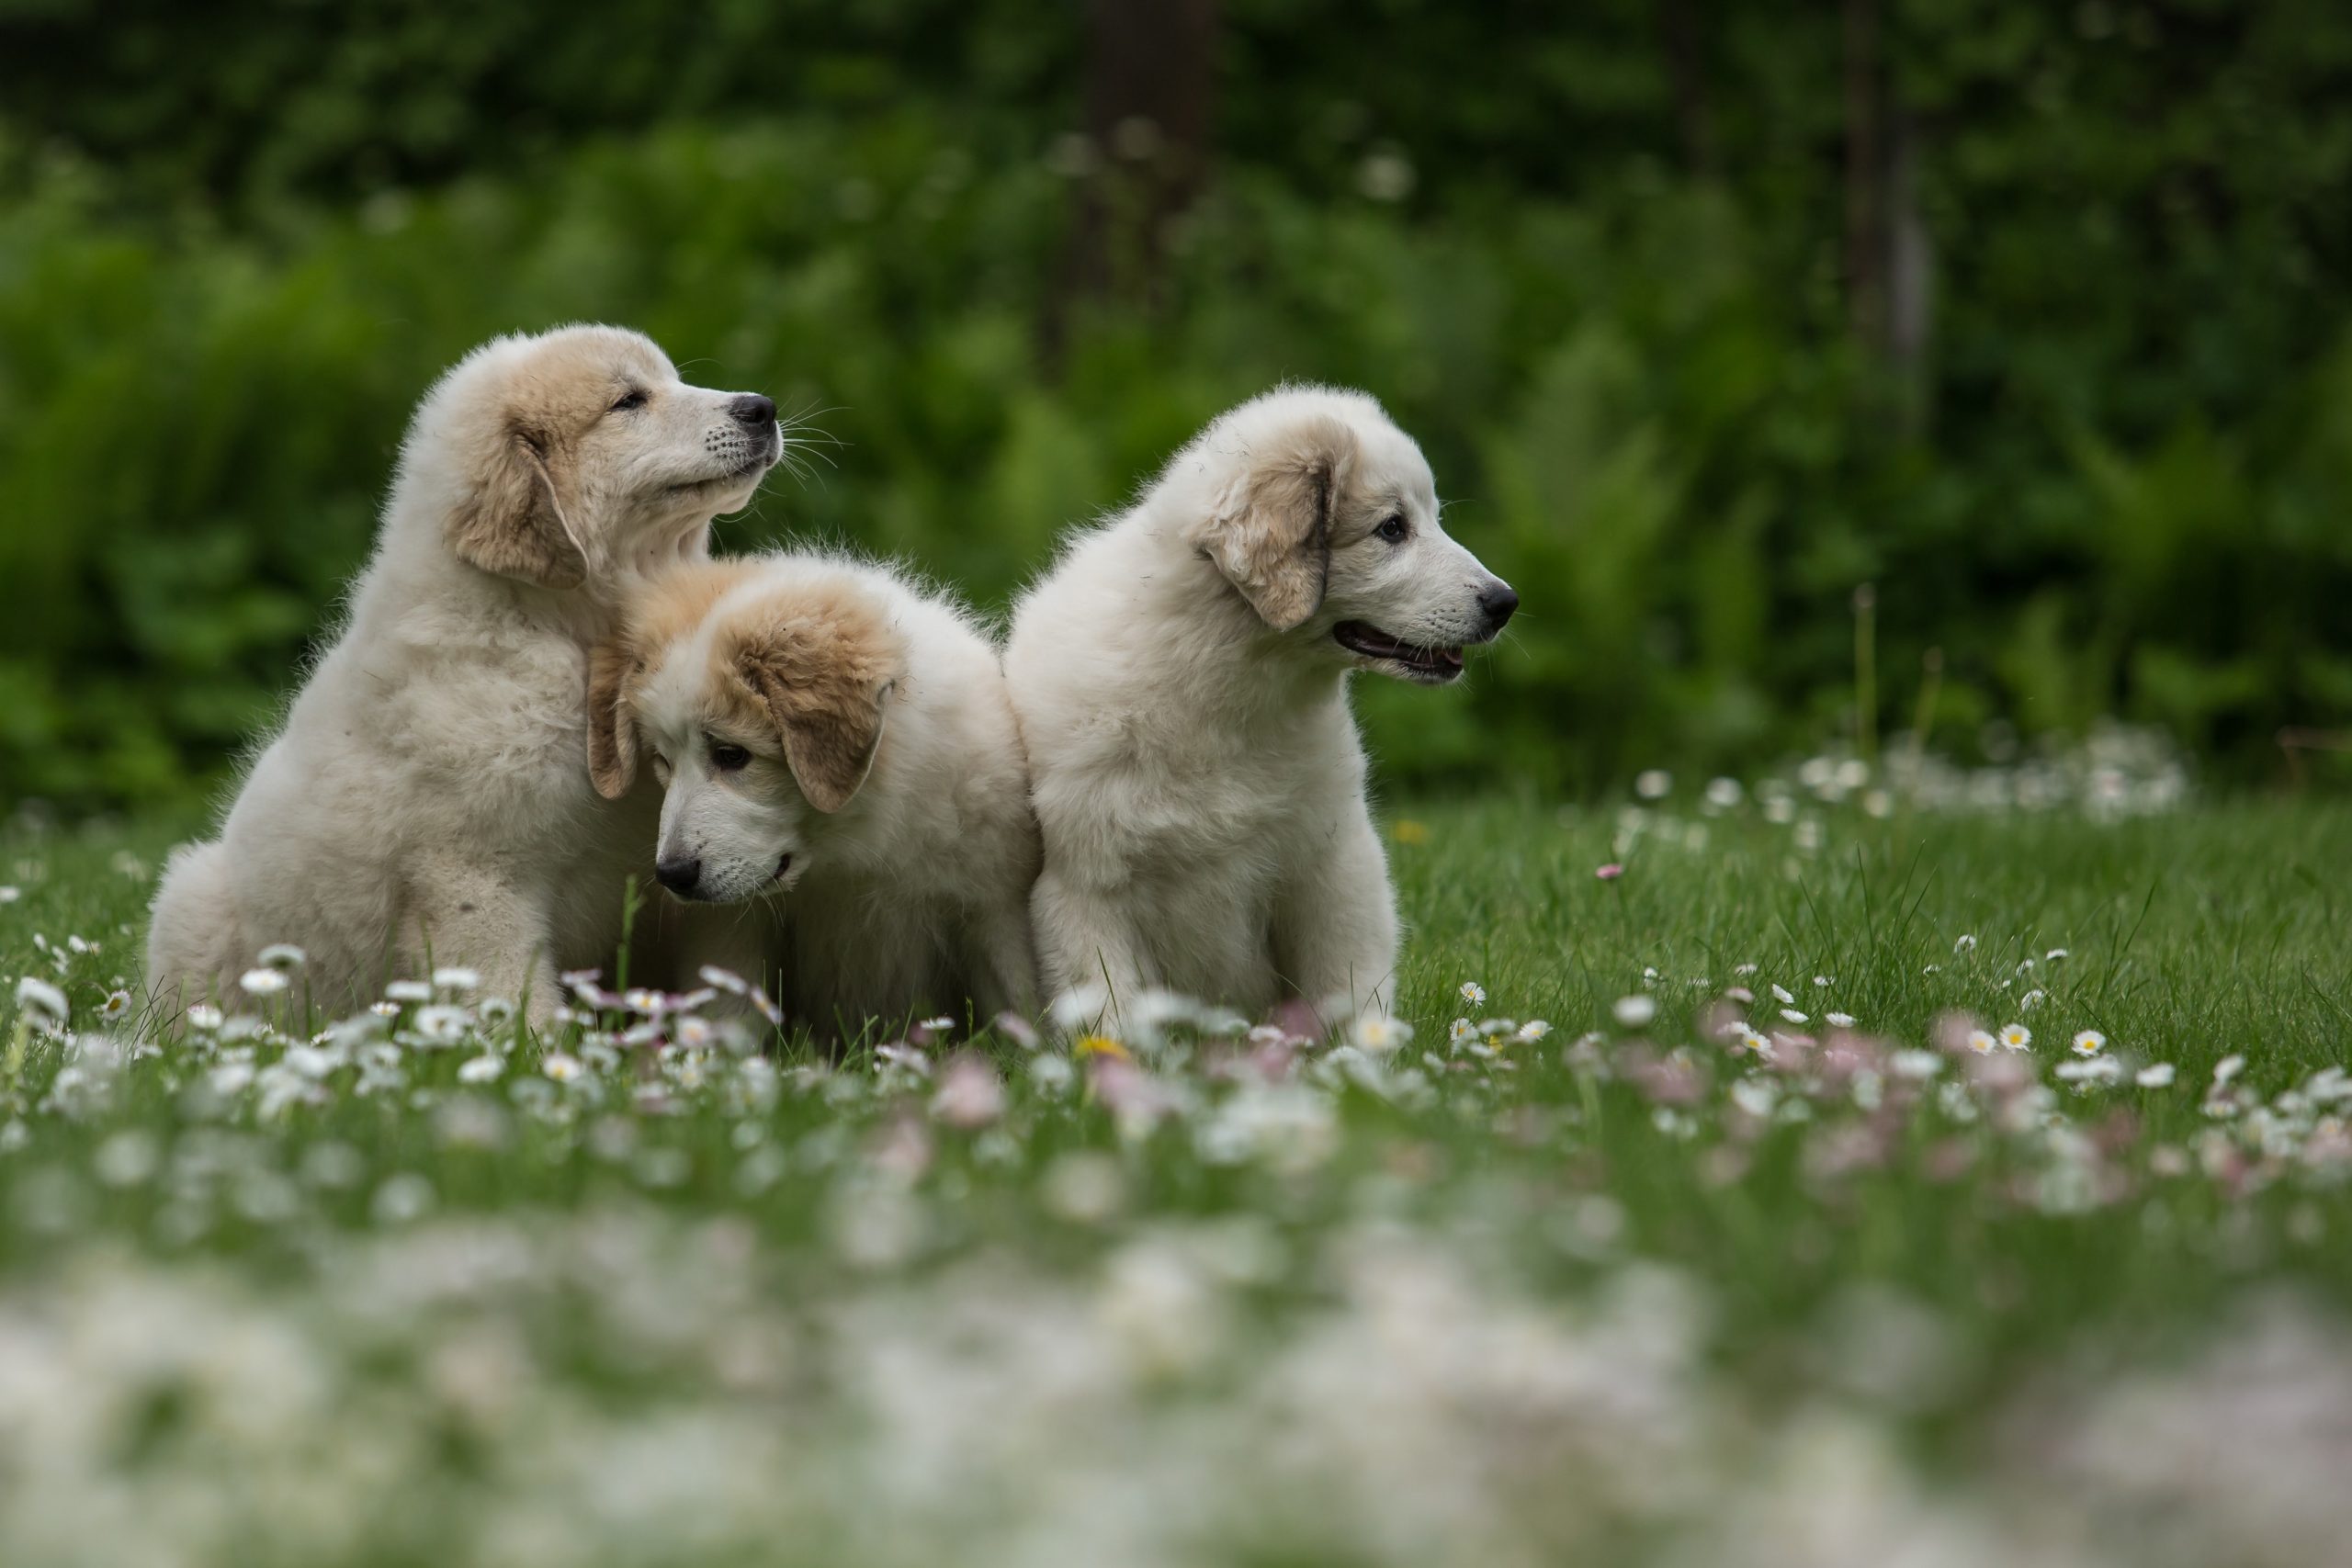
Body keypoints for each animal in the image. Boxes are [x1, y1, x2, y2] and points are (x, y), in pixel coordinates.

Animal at [149, 324, 790, 1024]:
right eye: (628, 402)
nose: (761, 407)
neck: (558, 633)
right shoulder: (477, 879)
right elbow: (514, 997)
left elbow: (721, 967)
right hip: (195, 909)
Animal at [588, 554, 1039, 1043]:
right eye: (663, 762)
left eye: (732, 755)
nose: (672, 875)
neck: (845, 852)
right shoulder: (732, 933)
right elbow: (733, 1018)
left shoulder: (992, 907)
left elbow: (1020, 1004)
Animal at [1001, 385, 1514, 1029]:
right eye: (1392, 528)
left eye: (1432, 517)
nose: (1506, 602)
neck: (1230, 689)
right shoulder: (1085, 891)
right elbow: (1110, 1018)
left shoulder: (1331, 873)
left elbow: (1348, 996)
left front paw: (1366, 1060)